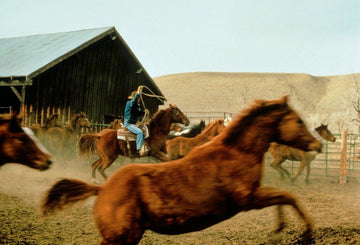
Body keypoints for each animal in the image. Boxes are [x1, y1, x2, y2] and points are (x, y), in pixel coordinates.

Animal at [43, 96, 324, 245]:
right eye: (298, 121)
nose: (318, 145)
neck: (236, 151)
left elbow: (284, 196)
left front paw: (282, 227)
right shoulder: (248, 198)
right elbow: (286, 196)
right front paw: (303, 231)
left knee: (94, 167)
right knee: (97, 168)